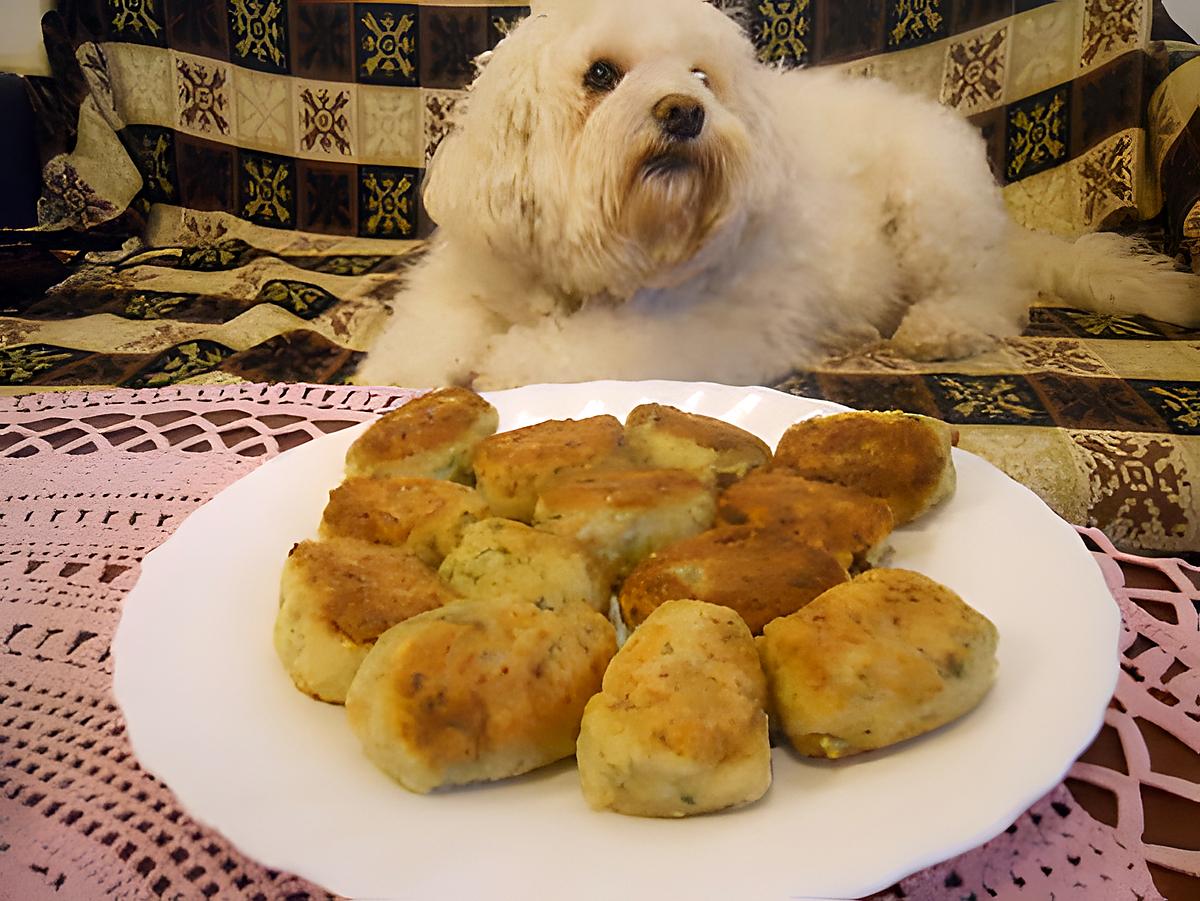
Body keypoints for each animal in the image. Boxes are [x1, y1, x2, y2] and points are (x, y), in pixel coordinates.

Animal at [355, 0, 1200, 388]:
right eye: (600, 73)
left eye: (701, 76)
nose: (685, 112)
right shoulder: (468, 277)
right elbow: (427, 335)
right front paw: (397, 377)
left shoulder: (699, 330)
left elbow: (577, 352)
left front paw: (511, 364)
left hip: (935, 207)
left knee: (994, 289)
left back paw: (938, 327)